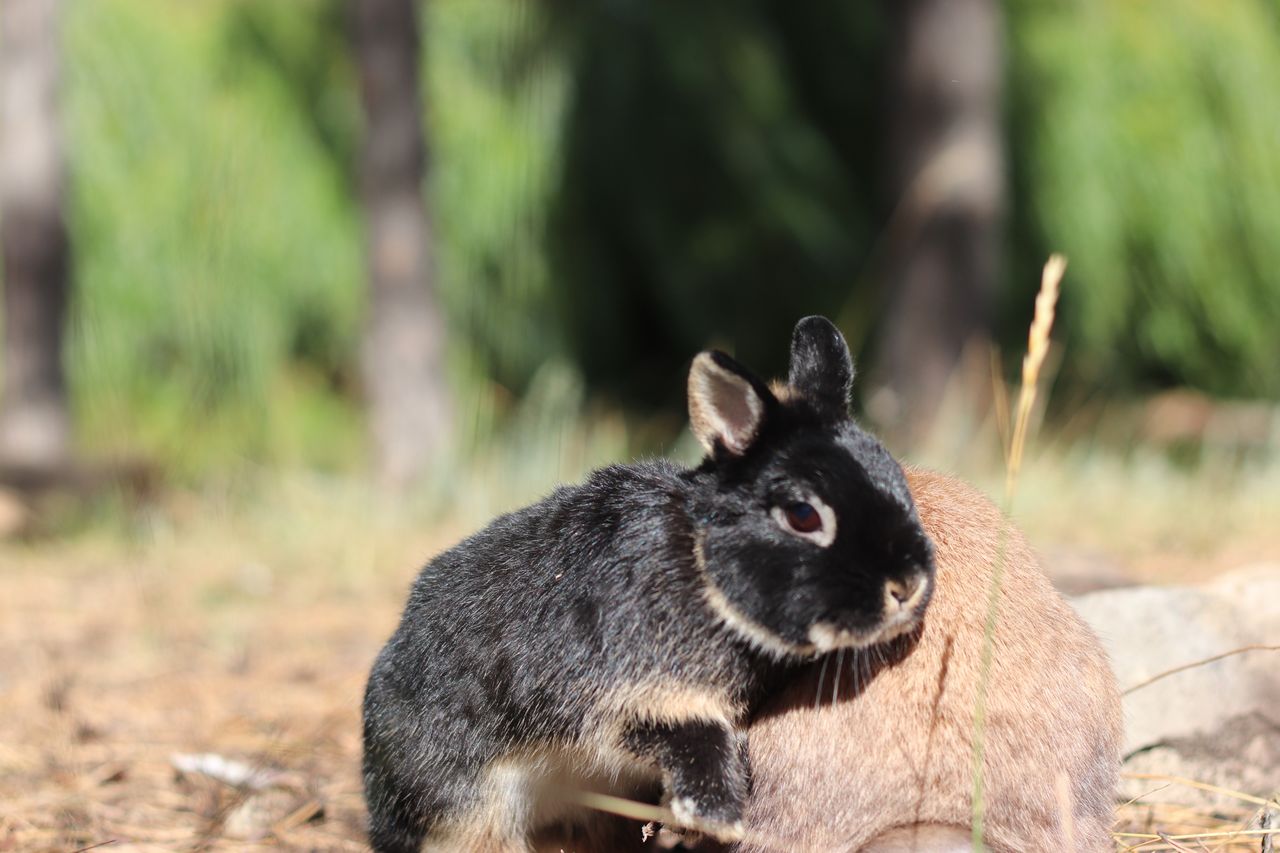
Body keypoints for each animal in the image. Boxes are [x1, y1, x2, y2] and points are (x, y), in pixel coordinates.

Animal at [366, 315, 936, 845]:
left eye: (893, 475)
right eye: (803, 514)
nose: (907, 586)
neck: (701, 565)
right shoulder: (629, 693)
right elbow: (695, 736)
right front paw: (717, 818)